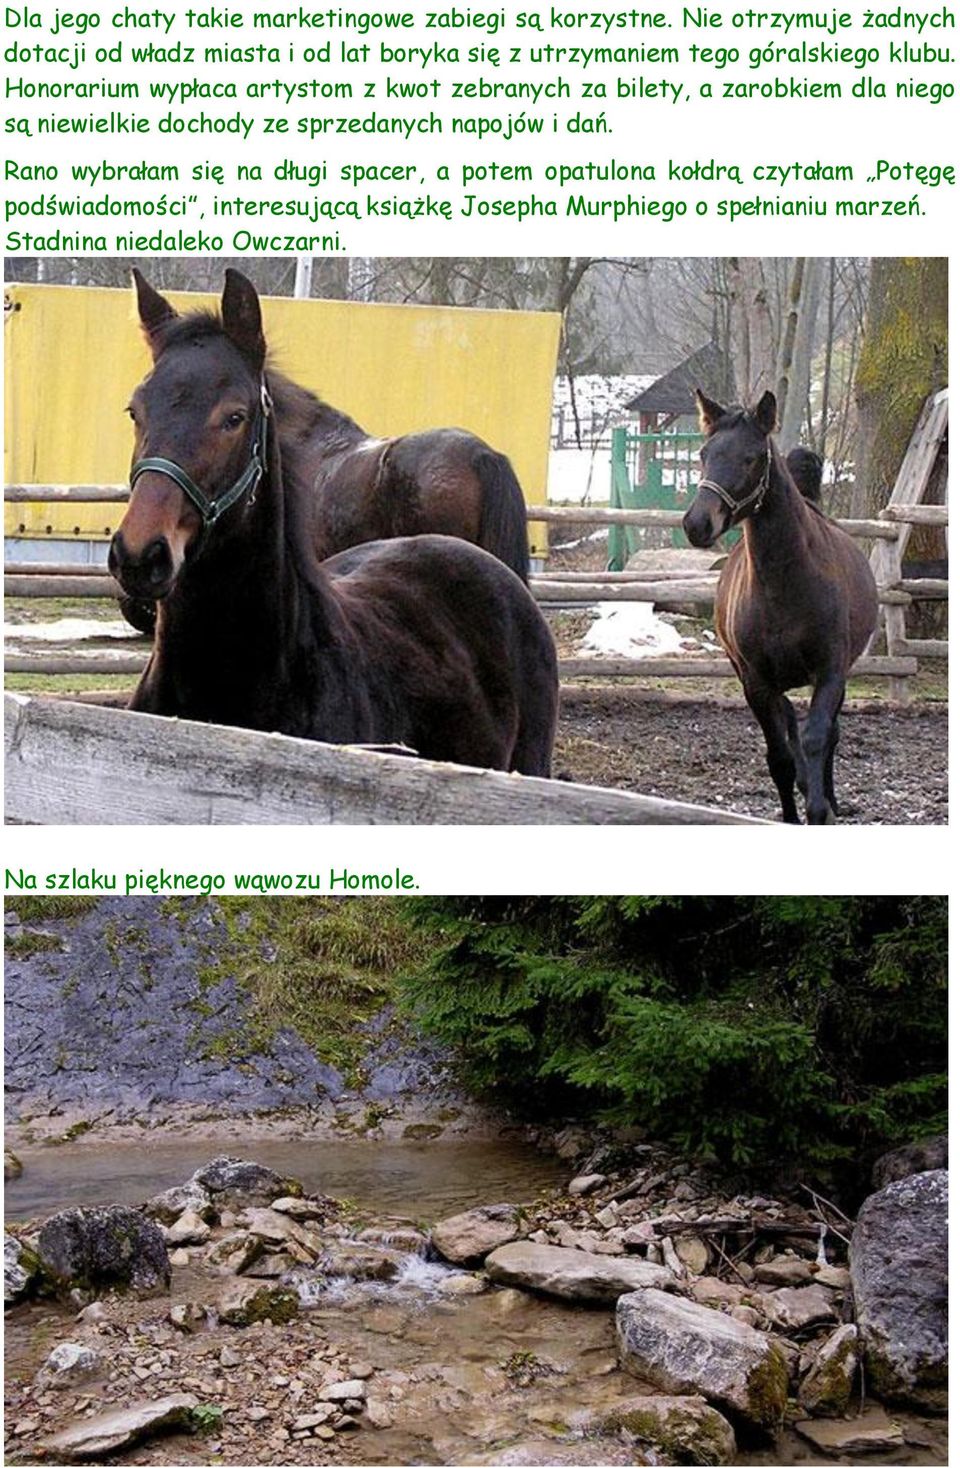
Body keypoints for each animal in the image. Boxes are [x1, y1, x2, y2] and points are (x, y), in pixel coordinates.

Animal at [684, 390, 880, 827]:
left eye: (752, 457)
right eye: (704, 453)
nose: (697, 524)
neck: (783, 586)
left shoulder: (830, 671)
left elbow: (818, 737)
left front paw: (821, 809)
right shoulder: (756, 682)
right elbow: (779, 758)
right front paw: (794, 811)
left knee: (826, 733)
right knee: (788, 720)